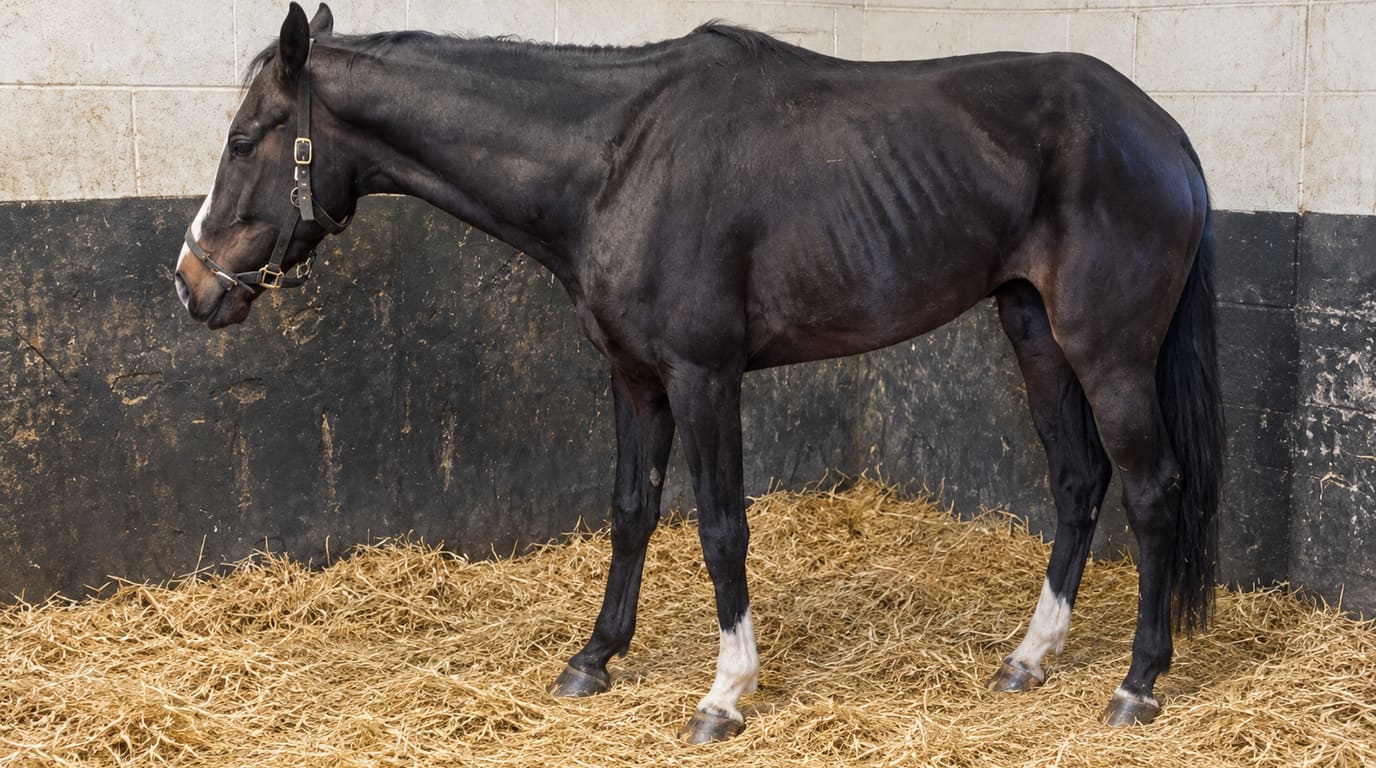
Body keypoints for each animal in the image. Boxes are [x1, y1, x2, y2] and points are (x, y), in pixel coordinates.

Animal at [174, 2, 1223, 742]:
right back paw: (1030, 658)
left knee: (1152, 491)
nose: (192, 282)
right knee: (1078, 481)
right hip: (1033, 331)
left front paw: (726, 694)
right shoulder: (635, 378)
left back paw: (1137, 682)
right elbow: (632, 510)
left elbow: (721, 529)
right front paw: (594, 658)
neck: (616, 158)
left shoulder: (704, 376)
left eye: (243, 139)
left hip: (1108, 352)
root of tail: (1164, 132)